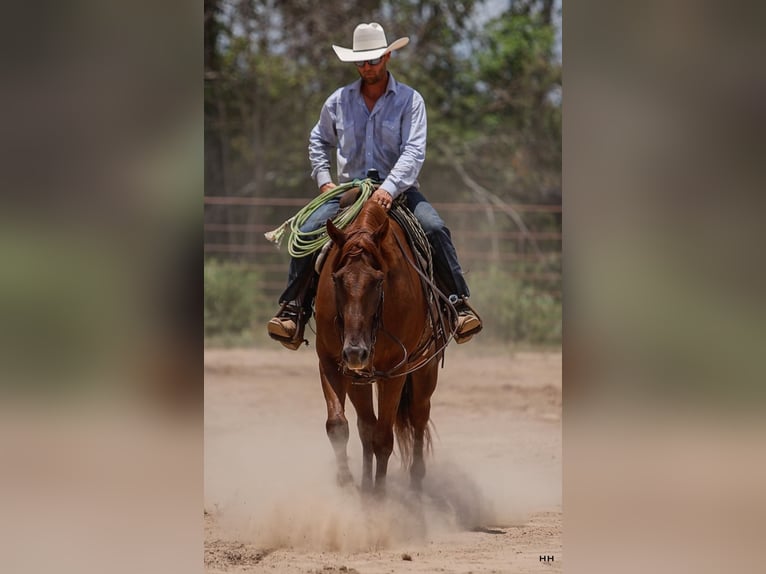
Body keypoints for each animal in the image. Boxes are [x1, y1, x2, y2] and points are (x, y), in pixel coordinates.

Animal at [316, 201, 438, 496]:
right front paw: (348, 483)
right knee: (366, 426)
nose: (355, 352)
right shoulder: (330, 360)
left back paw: (415, 485)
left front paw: (380, 496)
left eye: (378, 280)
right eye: (337, 279)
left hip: (425, 368)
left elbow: (384, 437)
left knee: (419, 416)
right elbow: (338, 425)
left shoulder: (394, 371)